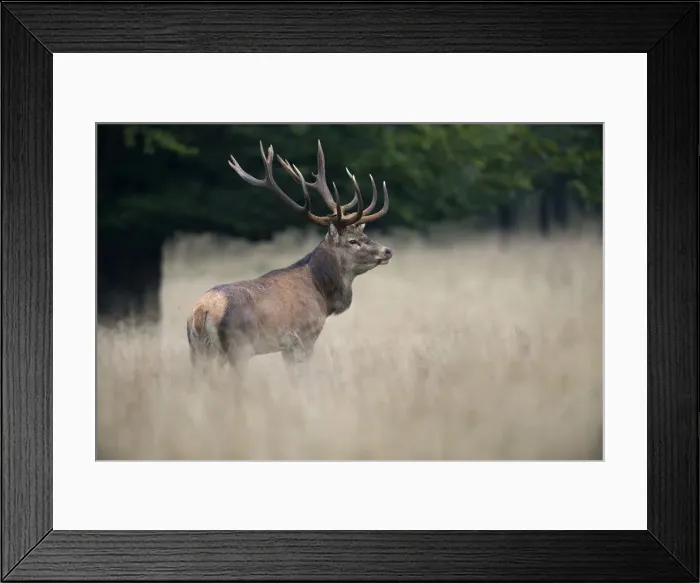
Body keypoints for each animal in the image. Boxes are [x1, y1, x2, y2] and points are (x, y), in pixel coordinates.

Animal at [186, 139, 392, 380]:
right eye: (353, 241)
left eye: (364, 236)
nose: (387, 251)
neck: (322, 294)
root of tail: (201, 311)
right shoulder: (304, 337)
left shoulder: (286, 346)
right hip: (238, 347)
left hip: (198, 352)